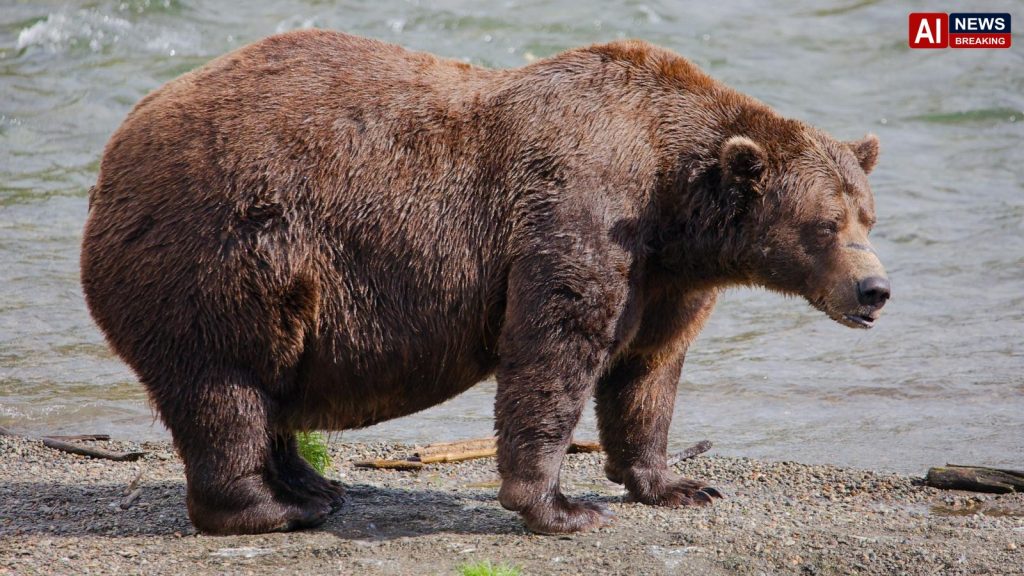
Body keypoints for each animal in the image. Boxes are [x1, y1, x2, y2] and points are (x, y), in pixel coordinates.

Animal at [80, 30, 890, 535]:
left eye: (868, 216)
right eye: (825, 224)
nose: (874, 290)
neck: (673, 200)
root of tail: (113, 154)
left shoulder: (666, 277)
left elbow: (647, 372)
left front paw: (678, 484)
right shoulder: (581, 212)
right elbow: (554, 349)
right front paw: (561, 507)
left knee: (267, 386)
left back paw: (314, 485)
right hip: (222, 251)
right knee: (226, 386)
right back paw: (272, 507)